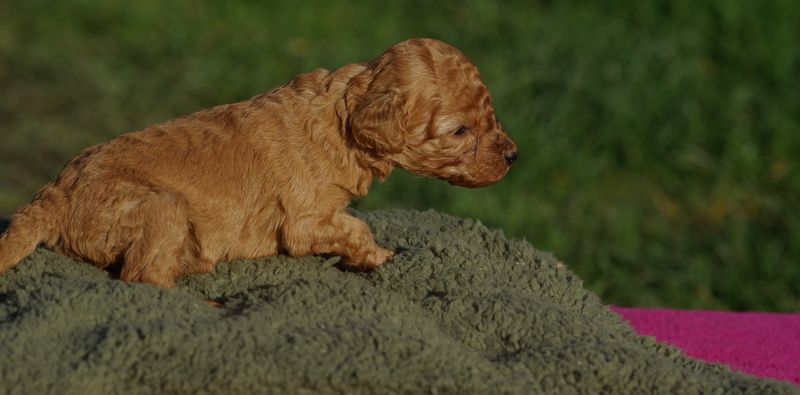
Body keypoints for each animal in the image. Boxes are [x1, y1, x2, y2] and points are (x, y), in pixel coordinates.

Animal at [0, 38, 520, 288]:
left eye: (490, 112)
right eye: (460, 131)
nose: (515, 155)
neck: (342, 116)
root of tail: (51, 193)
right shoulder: (305, 221)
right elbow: (356, 228)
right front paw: (380, 256)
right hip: (161, 207)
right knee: (140, 277)